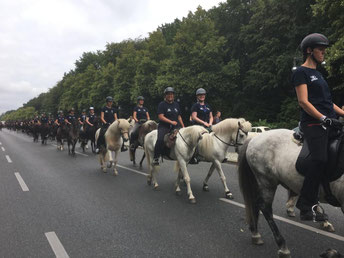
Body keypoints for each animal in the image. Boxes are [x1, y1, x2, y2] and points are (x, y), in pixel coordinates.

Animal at [236, 129, 344, 258]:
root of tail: (254, 138)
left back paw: (255, 234)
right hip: (267, 181)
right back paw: (282, 247)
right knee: (265, 208)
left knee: (256, 204)